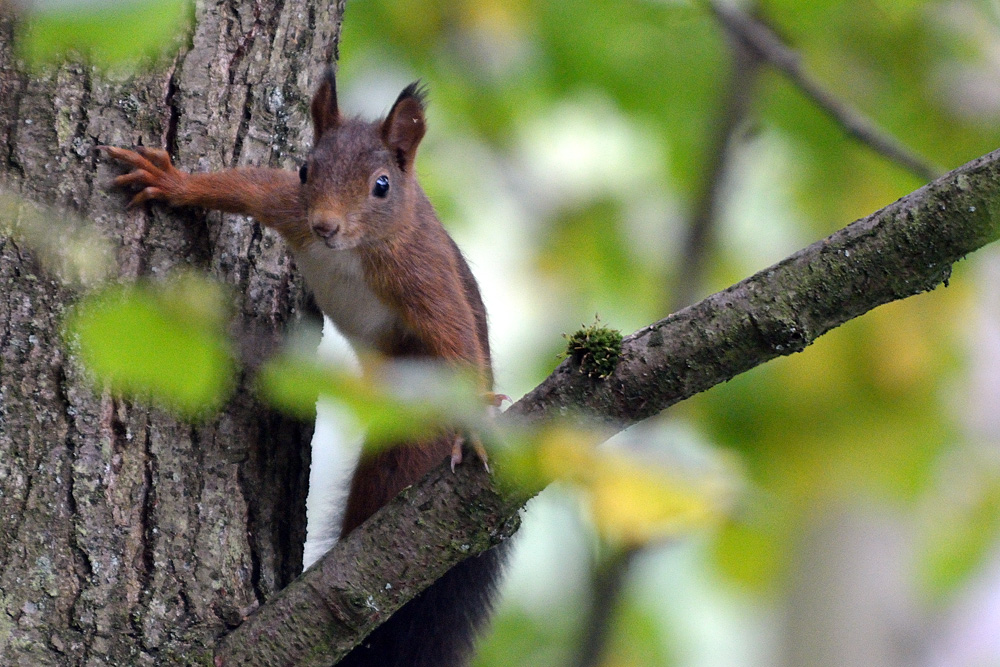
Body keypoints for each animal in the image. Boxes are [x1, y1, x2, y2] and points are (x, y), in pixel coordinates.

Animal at [101, 66, 504, 667]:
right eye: (306, 169)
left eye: (382, 185)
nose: (326, 226)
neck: (351, 251)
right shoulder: (288, 207)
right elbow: (246, 186)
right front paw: (174, 181)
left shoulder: (421, 272)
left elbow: (454, 336)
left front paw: (475, 420)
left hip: (407, 442)